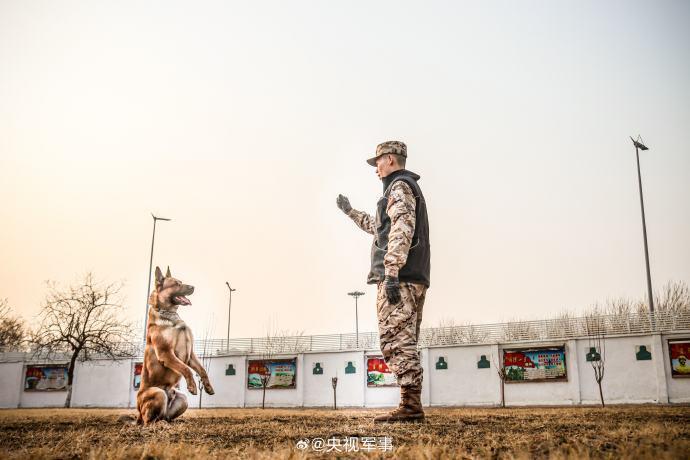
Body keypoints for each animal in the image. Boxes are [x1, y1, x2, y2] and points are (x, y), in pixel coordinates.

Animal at [136, 266, 214, 424]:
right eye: (176, 284)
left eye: (181, 282)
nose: (193, 287)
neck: (169, 314)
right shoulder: (166, 353)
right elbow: (185, 369)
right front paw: (192, 386)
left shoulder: (190, 356)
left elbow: (202, 370)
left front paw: (208, 387)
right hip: (158, 393)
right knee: (149, 421)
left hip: (182, 399)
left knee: (165, 416)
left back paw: (171, 422)